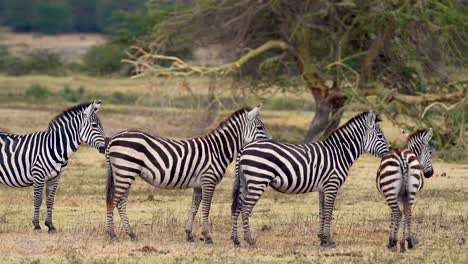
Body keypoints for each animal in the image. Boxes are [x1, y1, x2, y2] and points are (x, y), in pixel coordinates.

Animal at [0, 101, 106, 233]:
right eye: (94, 125)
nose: (106, 147)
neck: (55, 146)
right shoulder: (38, 174)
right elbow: (38, 200)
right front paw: (36, 226)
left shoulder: (55, 177)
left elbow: (50, 200)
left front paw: (50, 225)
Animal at [103, 104, 268, 243]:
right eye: (260, 127)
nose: (270, 143)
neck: (217, 150)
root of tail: (113, 138)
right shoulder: (209, 180)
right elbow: (206, 208)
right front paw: (207, 237)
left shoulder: (199, 185)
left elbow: (194, 208)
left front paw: (189, 235)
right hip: (126, 171)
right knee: (113, 201)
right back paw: (112, 234)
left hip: (124, 173)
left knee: (121, 203)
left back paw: (131, 234)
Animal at [231, 111, 392, 248]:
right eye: (380, 135)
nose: (390, 151)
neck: (339, 153)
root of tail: (244, 148)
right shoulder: (332, 185)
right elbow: (329, 212)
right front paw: (329, 240)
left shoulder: (323, 188)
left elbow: (322, 211)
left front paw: (322, 240)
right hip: (258, 180)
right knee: (245, 209)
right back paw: (250, 241)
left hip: (245, 182)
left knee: (237, 207)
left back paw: (236, 240)